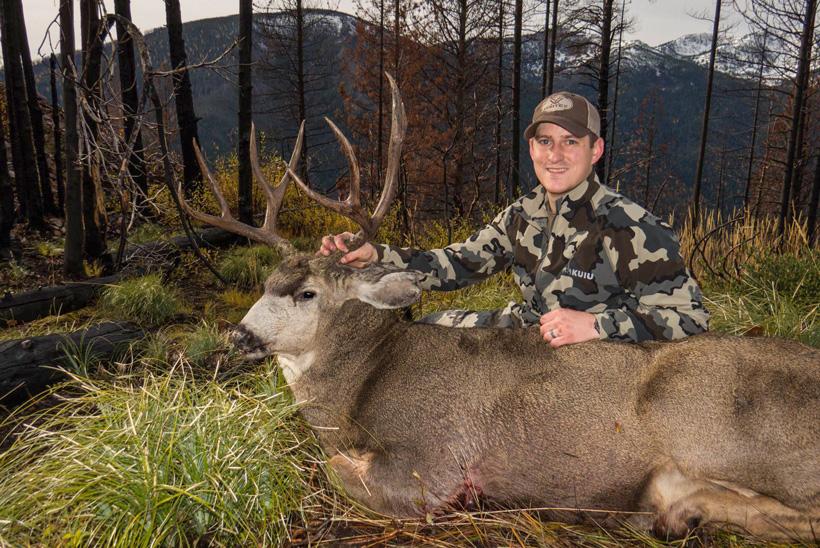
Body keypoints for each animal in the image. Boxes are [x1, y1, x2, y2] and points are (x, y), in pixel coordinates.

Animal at [179, 75, 820, 542]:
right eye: (265, 283)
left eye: (307, 293)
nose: (238, 336)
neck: (360, 388)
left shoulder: (430, 462)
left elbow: (333, 470)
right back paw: (679, 512)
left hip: (721, 428)